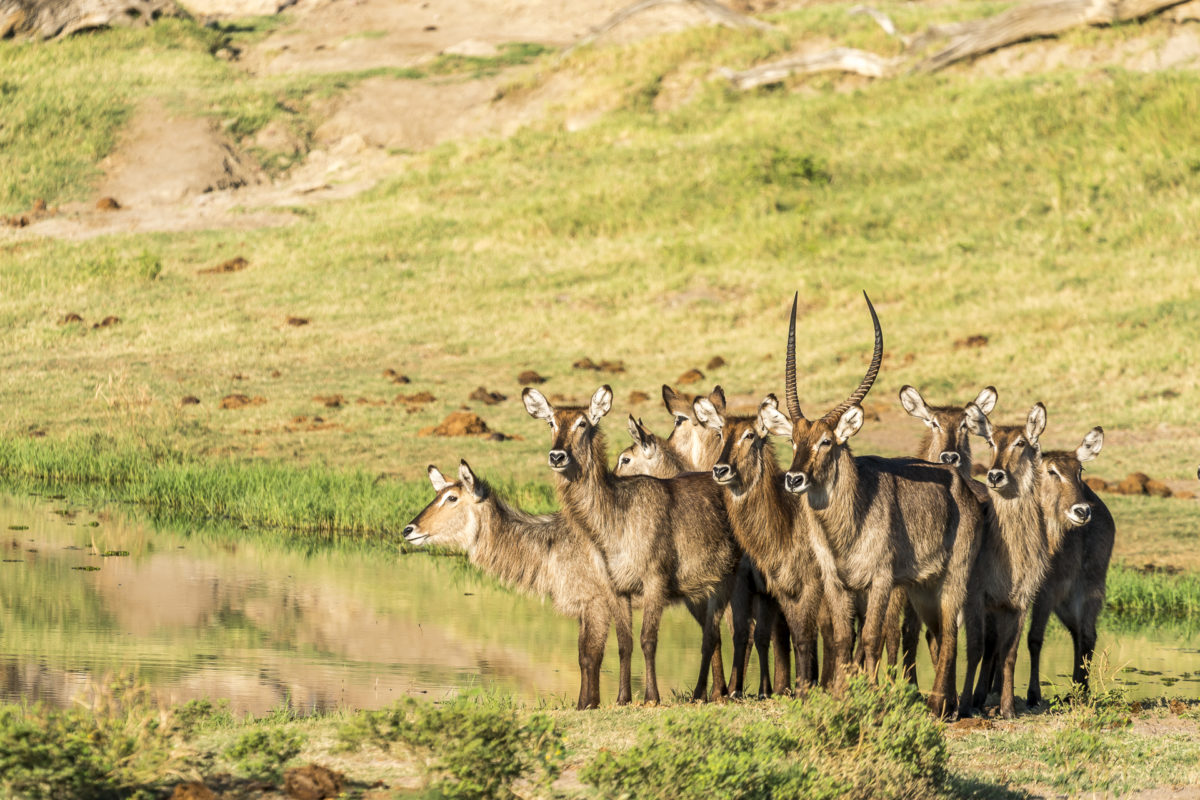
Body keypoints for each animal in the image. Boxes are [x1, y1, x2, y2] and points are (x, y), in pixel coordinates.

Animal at [400, 460, 633, 710]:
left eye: (452, 497)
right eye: (437, 495)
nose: (408, 530)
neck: (551, 546)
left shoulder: (595, 603)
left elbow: (590, 657)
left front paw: (588, 706)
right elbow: (585, 656)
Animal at [523, 383, 739, 705]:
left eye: (582, 423)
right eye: (551, 422)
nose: (557, 456)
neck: (612, 523)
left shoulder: (655, 579)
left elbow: (648, 639)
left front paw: (651, 696)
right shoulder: (615, 587)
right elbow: (624, 642)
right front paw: (622, 697)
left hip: (731, 578)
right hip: (702, 587)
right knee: (712, 635)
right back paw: (709, 692)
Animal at [777, 291, 984, 714]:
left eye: (827, 441)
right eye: (793, 440)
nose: (794, 479)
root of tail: (963, 484)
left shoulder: (882, 579)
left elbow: (872, 637)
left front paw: (870, 696)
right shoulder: (836, 581)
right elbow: (843, 638)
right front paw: (841, 695)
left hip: (953, 577)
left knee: (951, 633)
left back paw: (939, 705)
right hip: (922, 588)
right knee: (935, 633)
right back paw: (947, 702)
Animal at [960, 402, 1056, 714]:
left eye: (1021, 442)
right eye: (990, 442)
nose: (995, 475)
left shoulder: (1018, 601)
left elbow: (1009, 653)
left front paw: (1008, 708)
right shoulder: (975, 596)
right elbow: (975, 649)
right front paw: (963, 706)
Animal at [1022, 431, 1113, 705]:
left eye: (1079, 470)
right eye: (1051, 471)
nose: (1082, 511)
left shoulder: (1045, 592)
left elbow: (1033, 639)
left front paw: (1033, 694)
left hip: (1084, 589)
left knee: (1085, 635)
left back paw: (1078, 691)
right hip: (1070, 598)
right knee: (1081, 634)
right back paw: (1077, 689)